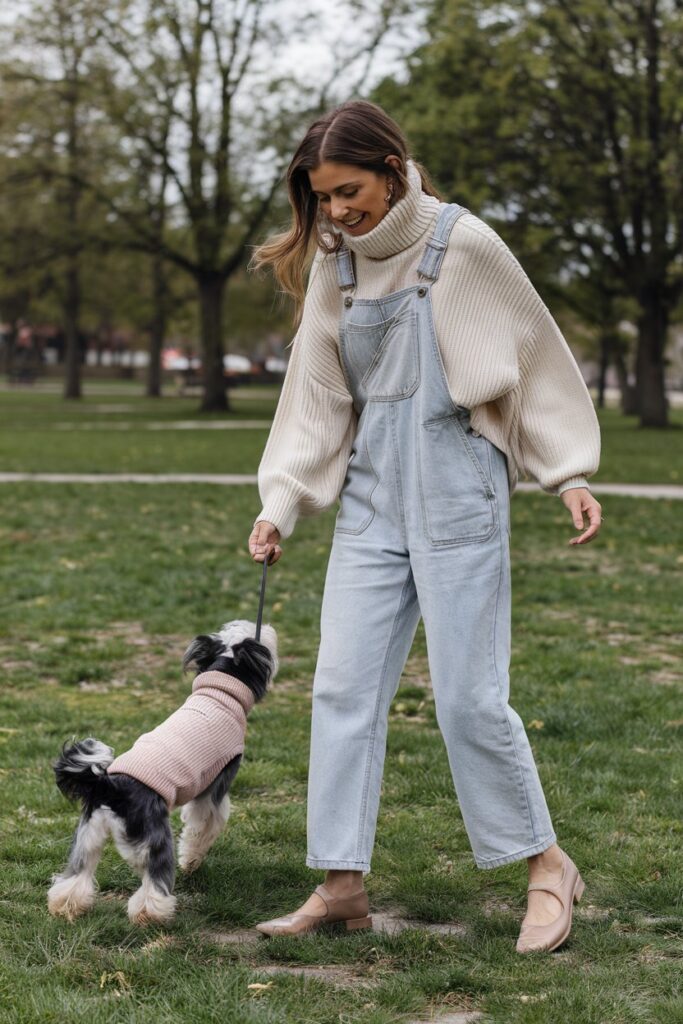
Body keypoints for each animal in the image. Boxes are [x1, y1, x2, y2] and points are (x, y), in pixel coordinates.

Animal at [47, 618, 278, 925]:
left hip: (88, 836)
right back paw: (152, 914)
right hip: (155, 837)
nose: (265, 626)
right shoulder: (213, 788)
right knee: (153, 880)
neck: (220, 694)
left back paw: (66, 906)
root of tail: (109, 787)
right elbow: (202, 827)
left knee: (75, 875)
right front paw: (191, 861)